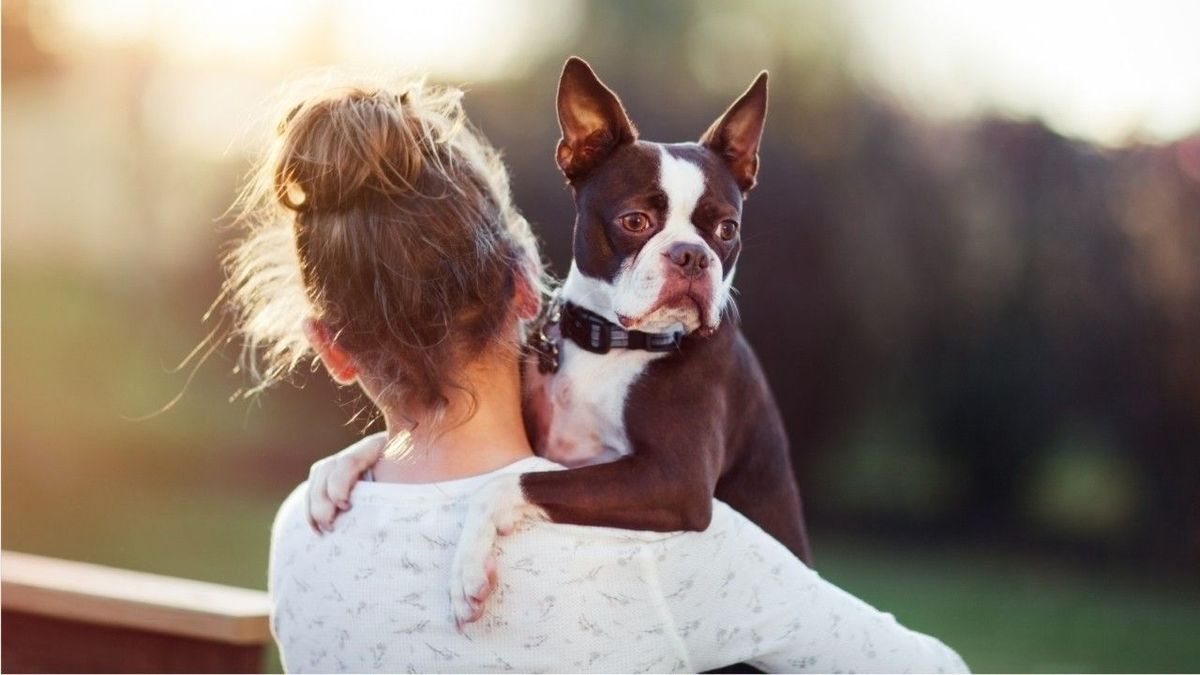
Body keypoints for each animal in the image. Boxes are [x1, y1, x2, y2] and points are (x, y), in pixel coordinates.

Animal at [451, 55, 816, 624]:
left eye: (727, 230)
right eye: (635, 221)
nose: (692, 255)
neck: (613, 342)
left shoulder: (674, 481)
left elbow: (508, 481)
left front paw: (466, 568)